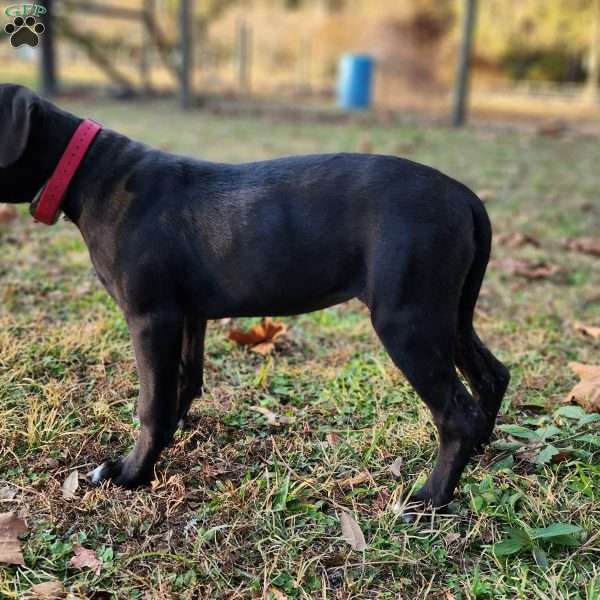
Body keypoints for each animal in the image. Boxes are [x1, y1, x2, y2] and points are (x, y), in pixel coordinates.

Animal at [0, 83, 508, 506]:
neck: (88, 168)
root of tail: (464, 197)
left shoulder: (150, 318)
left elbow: (151, 403)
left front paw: (131, 473)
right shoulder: (188, 315)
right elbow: (184, 379)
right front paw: (174, 433)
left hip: (405, 320)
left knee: (455, 413)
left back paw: (433, 497)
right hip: (446, 315)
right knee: (492, 375)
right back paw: (479, 449)